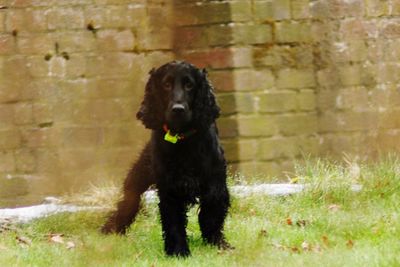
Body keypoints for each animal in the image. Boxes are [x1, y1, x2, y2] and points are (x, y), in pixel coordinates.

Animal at [102, 60, 231, 258]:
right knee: (129, 201)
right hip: (140, 173)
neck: (182, 139)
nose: (178, 110)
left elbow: (211, 216)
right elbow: (174, 221)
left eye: (189, 85)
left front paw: (216, 244)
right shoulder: (170, 188)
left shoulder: (214, 184)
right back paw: (112, 228)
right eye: (166, 85)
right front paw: (178, 252)